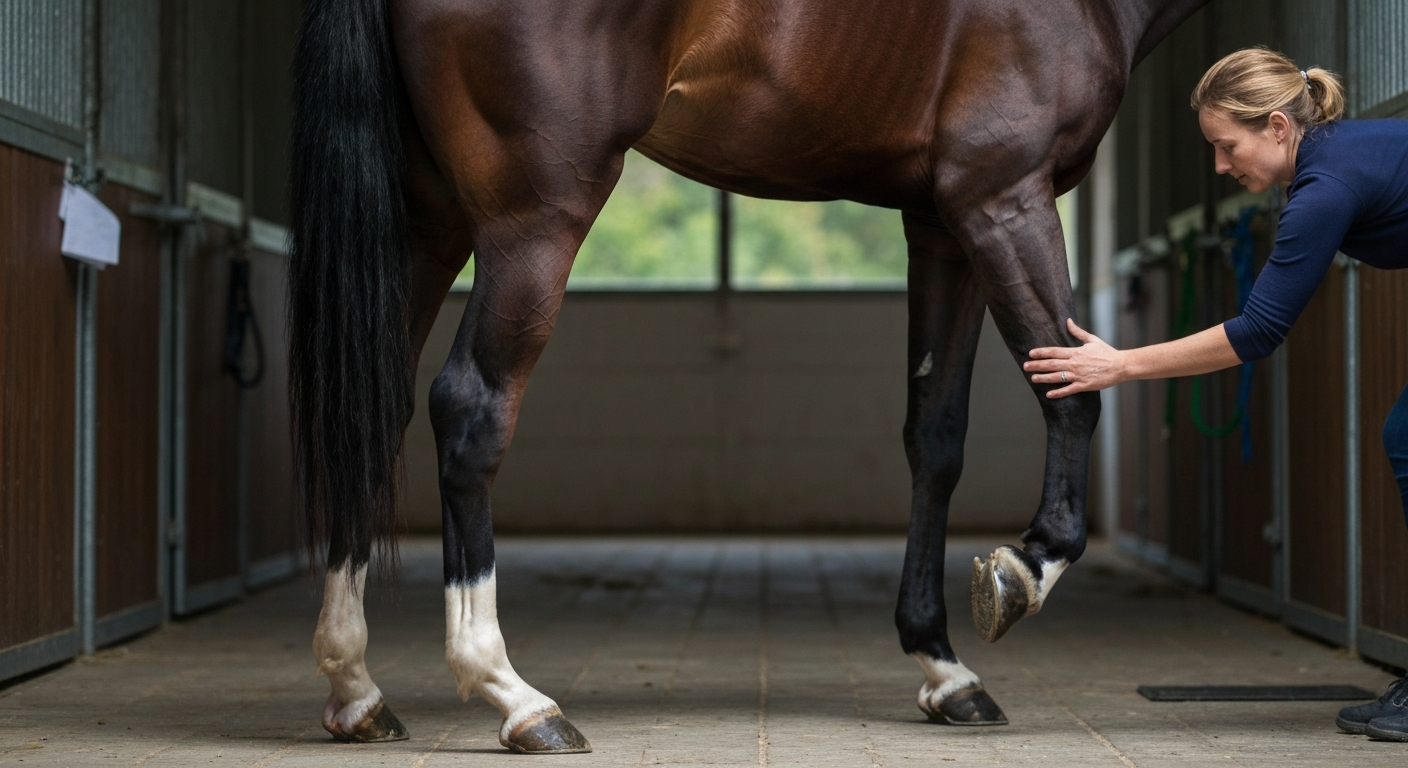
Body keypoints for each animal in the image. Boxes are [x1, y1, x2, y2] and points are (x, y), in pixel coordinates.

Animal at [289, 0, 1207, 752]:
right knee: (472, 409)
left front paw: (944, 669)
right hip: (534, 215)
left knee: (371, 412)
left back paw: (357, 689)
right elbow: (1075, 389)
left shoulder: (941, 222)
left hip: (429, 218)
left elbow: (936, 438)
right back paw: (515, 696)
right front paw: (1024, 570)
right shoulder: (1002, 196)